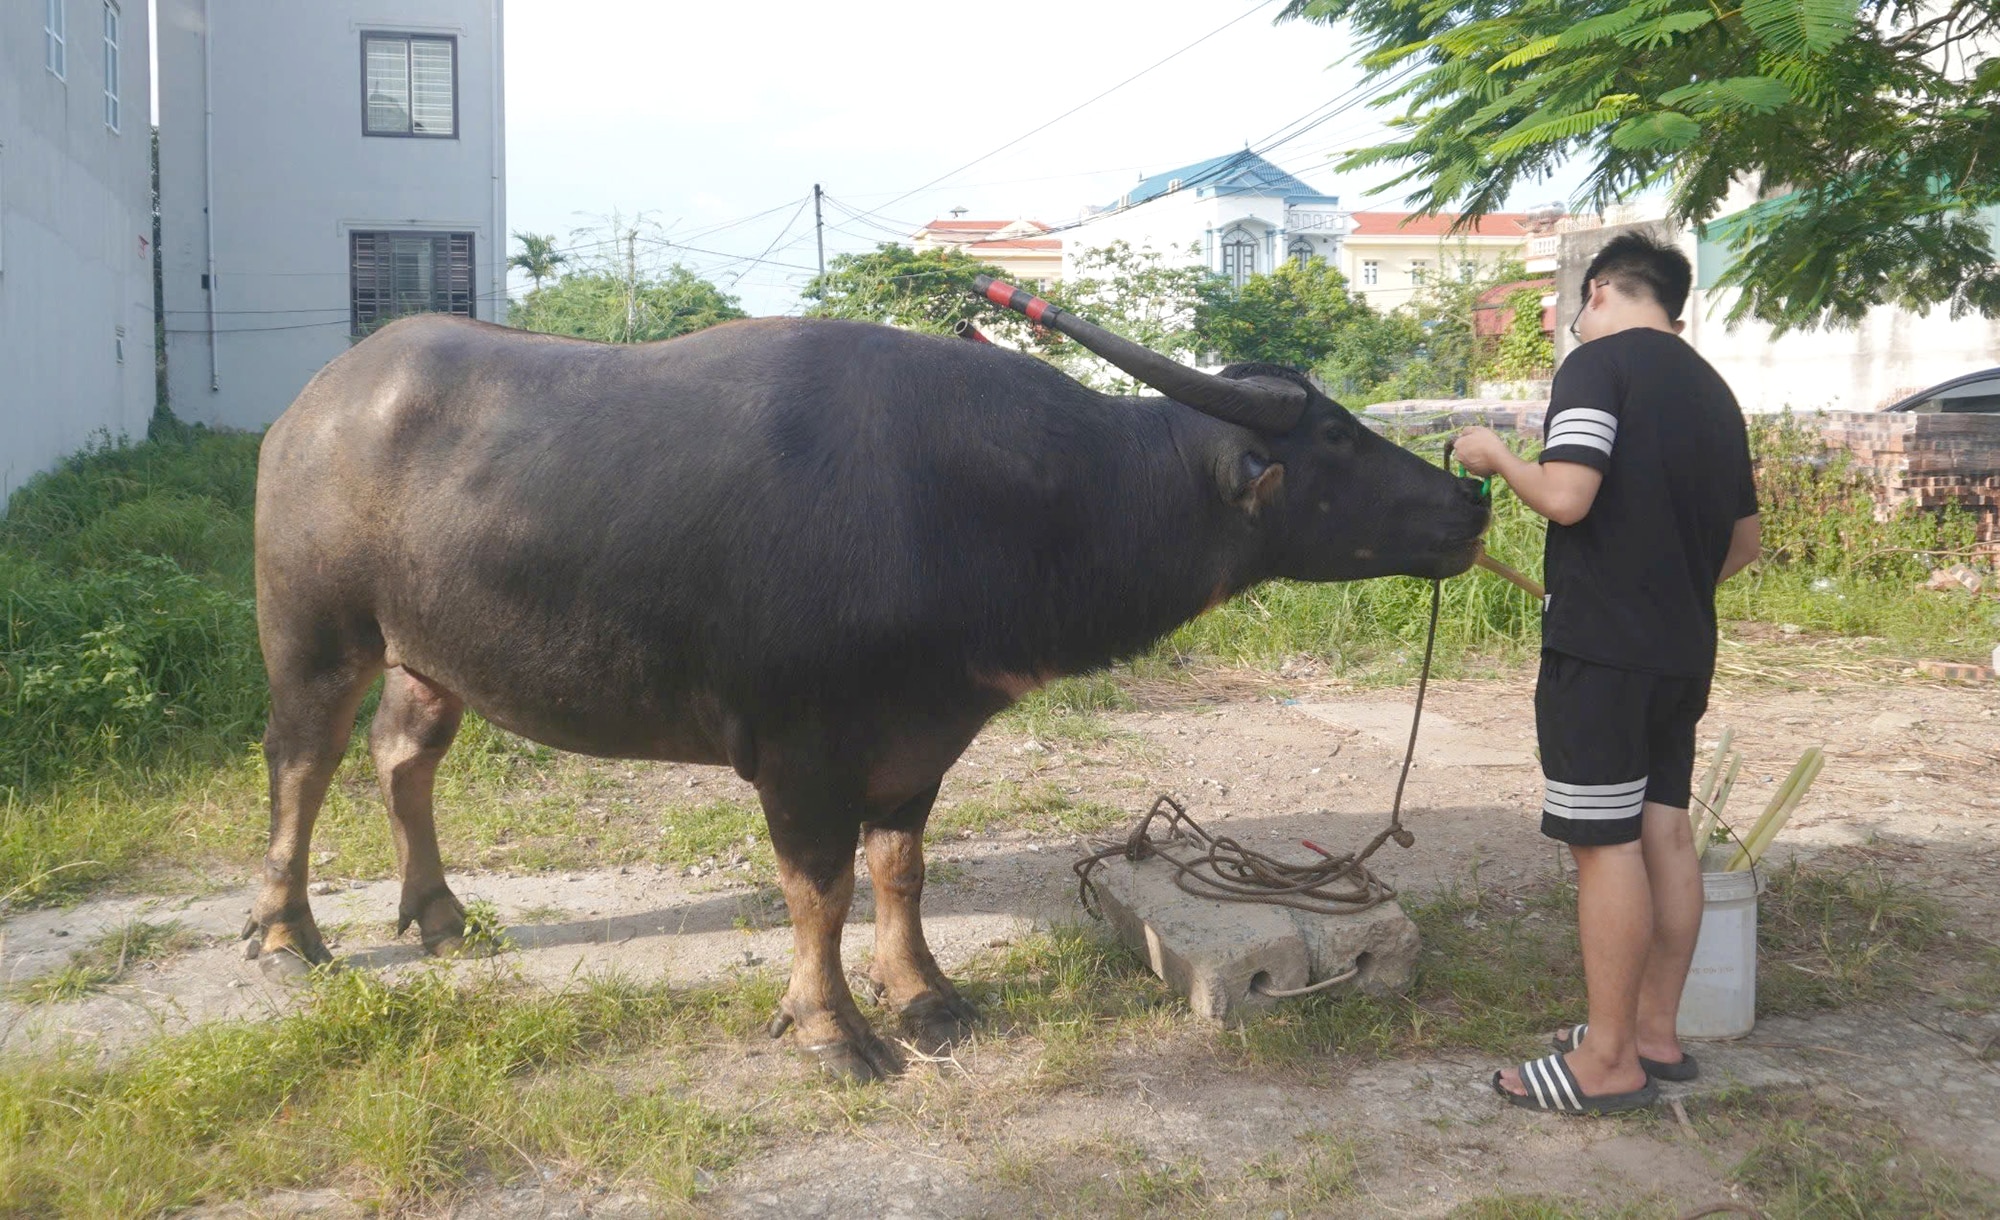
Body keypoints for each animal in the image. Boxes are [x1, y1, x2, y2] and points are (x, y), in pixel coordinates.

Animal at [250, 300, 1488, 1080]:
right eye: (1335, 437)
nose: (1471, 499)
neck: (997, 498)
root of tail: (311, 405)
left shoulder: (920, 738)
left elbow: (899, 870)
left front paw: (925, 991)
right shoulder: (802, 752)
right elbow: (820, 889)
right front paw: (832, 1030)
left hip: (428, 653)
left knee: (403, 755)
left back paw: (439, 914)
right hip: (313, 634)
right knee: (302, 764)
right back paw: (285, 931)